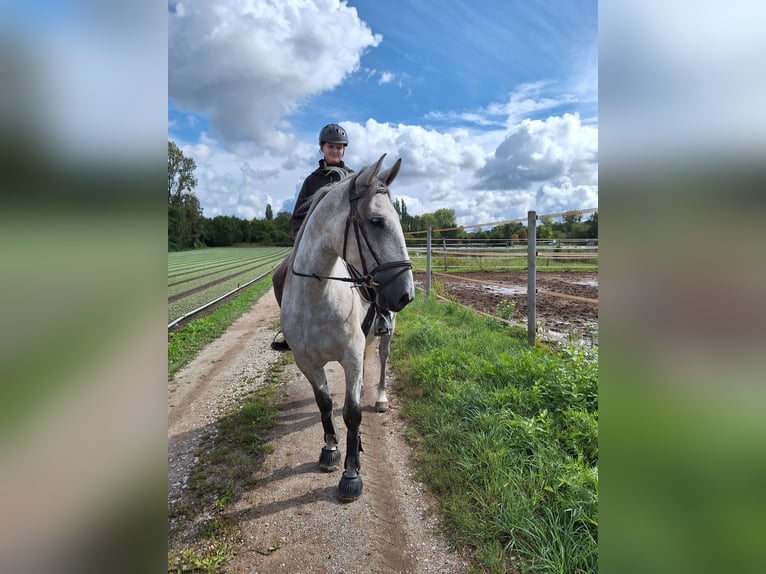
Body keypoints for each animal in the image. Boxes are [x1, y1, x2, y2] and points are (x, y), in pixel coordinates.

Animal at [280, 155, 416, 502]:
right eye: (377, 221)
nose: (406, 295)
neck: (317, 297)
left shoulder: (351, 357)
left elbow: (352, 412)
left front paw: (351, 473)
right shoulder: (306, 362)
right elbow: (325, 403)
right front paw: (330, 449)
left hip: (386, 334)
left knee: (381, 360)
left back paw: (379, 397)